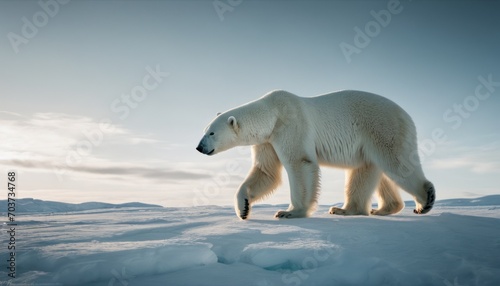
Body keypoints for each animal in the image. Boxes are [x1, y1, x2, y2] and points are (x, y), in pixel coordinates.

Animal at [195, 90, 434, 220]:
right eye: (205, 129)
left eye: (212, 133)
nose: (199, 147)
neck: (272, 114)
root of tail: (407, 115)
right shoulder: (268, 140)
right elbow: (266, 171)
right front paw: (243, 209)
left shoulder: (291, 124)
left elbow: (299, 162)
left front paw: (289, 212)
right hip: (368, 142)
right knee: (367, 170)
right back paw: (357, 209)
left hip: (383, 128)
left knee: (397, 162)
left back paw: (425, 200)